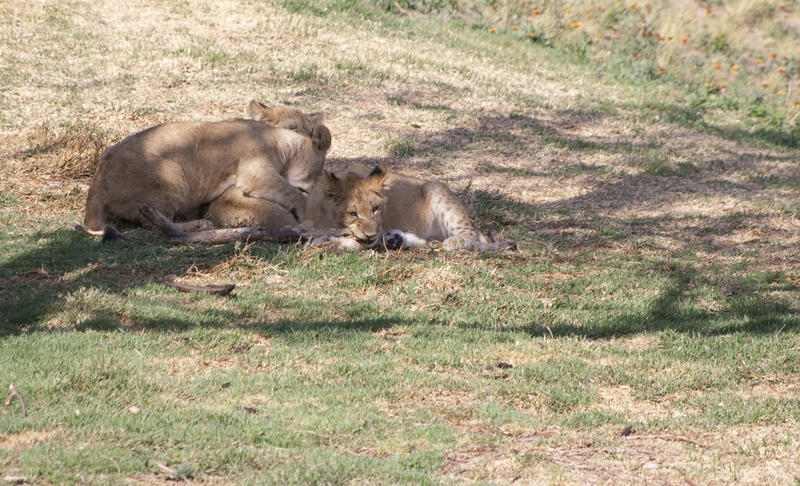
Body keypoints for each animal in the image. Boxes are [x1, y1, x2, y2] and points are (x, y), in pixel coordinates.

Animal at [82, 100, 332, 234]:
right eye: (294, 129)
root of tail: (95, 187)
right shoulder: (254, 175)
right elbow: (289, 195)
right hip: (172, 173)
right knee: (154, 222)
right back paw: (201, 225)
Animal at [300, 165, 512, 252]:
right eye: (352, 213)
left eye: (376, 209)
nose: (371, 234)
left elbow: (353, 244)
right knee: (425, 242)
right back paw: (395, 239)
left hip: (434, 187)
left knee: (472, 236)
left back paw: (454, 242)